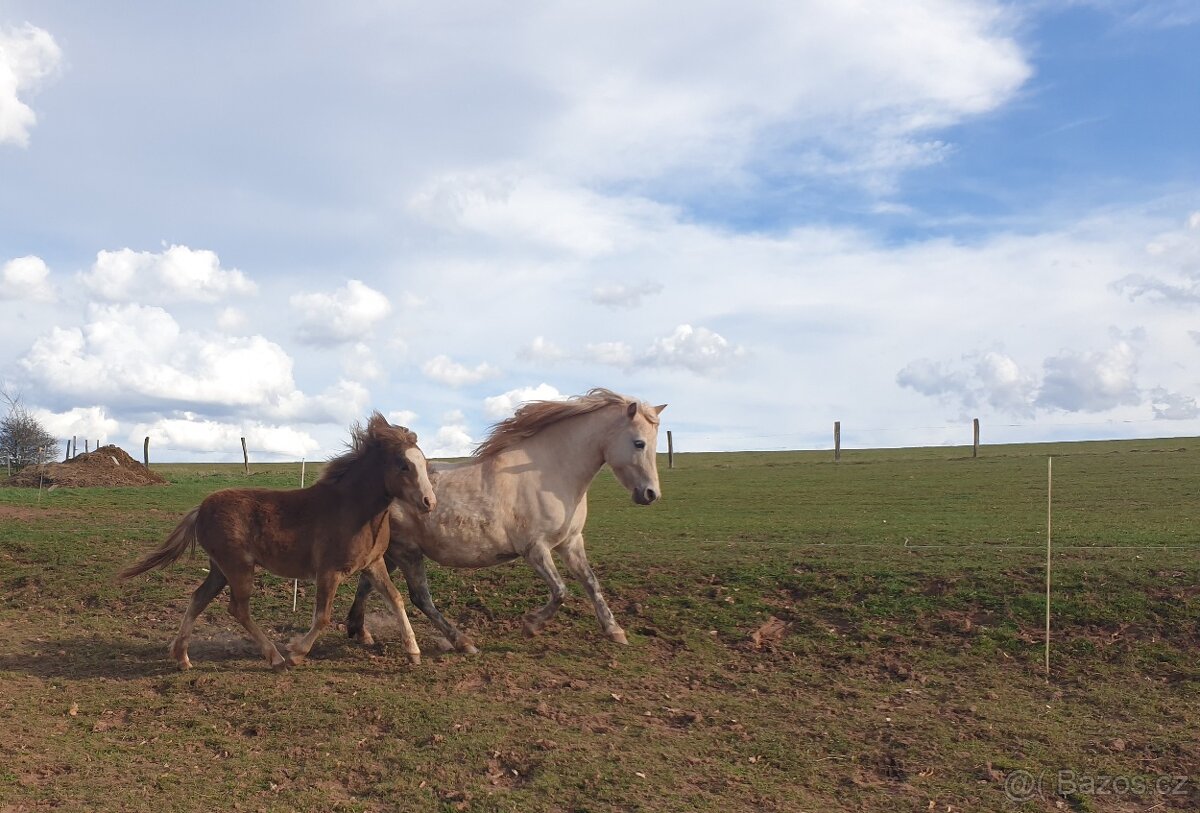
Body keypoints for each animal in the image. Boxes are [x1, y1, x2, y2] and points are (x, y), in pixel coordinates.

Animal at [119, 413, 436, 671]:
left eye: (423, 462)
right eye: (403, 465)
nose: (429, 502)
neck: (355, 510)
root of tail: (201, 509)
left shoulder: (373, 563)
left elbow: (395, 599)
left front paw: (414, 652)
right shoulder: (329, 571)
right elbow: (323, 616)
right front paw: (296, 653)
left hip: (220, 569)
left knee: (199, 598)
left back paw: (183, 658)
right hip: (238, 567)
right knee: (237, 609)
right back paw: (275, 658)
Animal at [345, 388, 665, 653]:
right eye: (639, 443)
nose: (651, 494)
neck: (551, 472)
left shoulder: (571, 542)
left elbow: (591, 583)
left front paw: (615, 631)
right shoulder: (535, 549)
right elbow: (560, 591)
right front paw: (531, 626)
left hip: (389, 552)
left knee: (368, 582)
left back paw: (359, 631)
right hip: (407, 551)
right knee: (419, 597)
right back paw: (463, 643)